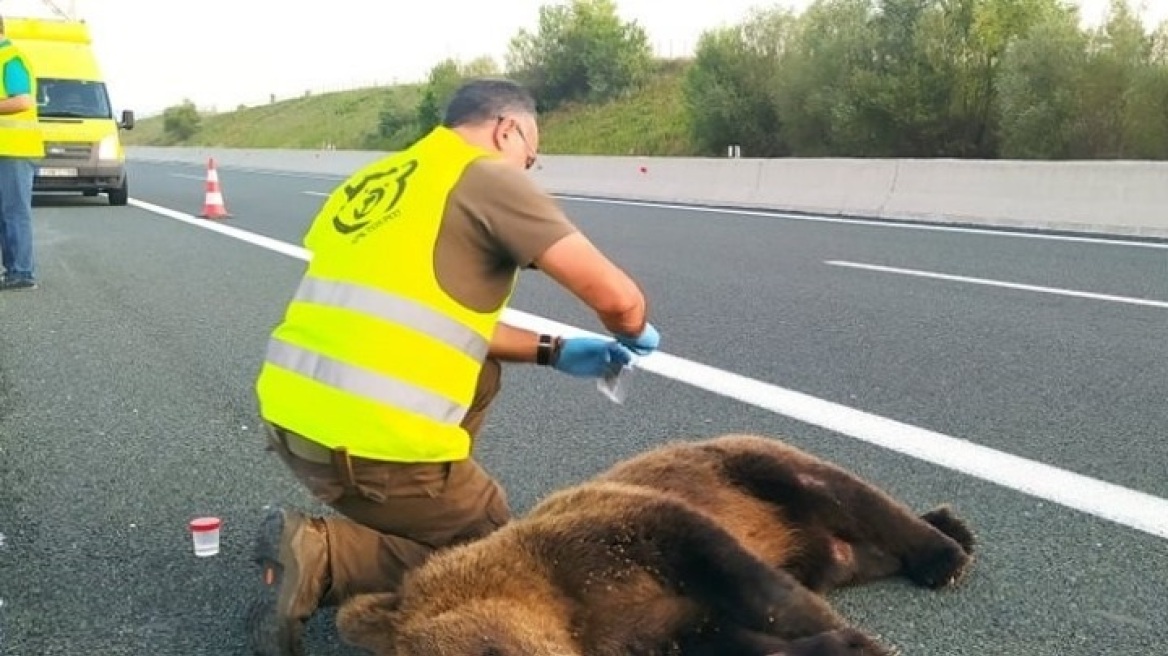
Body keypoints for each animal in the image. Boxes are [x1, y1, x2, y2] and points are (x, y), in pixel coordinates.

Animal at [334, 431, 971, 648]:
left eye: (491, 653)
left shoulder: (615, 538)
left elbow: (747, 582)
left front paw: (850, 637)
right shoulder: (647, 627)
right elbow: (726, 638)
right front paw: (836, 644)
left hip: (746, 466)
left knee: (842, 492)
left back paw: (945, 548)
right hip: (824, 551)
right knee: (853, 549)